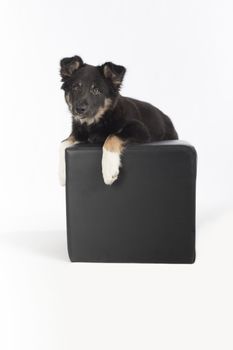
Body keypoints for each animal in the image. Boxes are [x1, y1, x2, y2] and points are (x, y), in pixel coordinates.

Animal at [58, 55, 178, 186]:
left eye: (96, 90)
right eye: (75, 87)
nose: (79, 109)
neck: (99, 121)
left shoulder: (140, 130)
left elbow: (112, 136)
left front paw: (109, 170)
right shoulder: (78, 133)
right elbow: (63, 143)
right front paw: (63, 174)